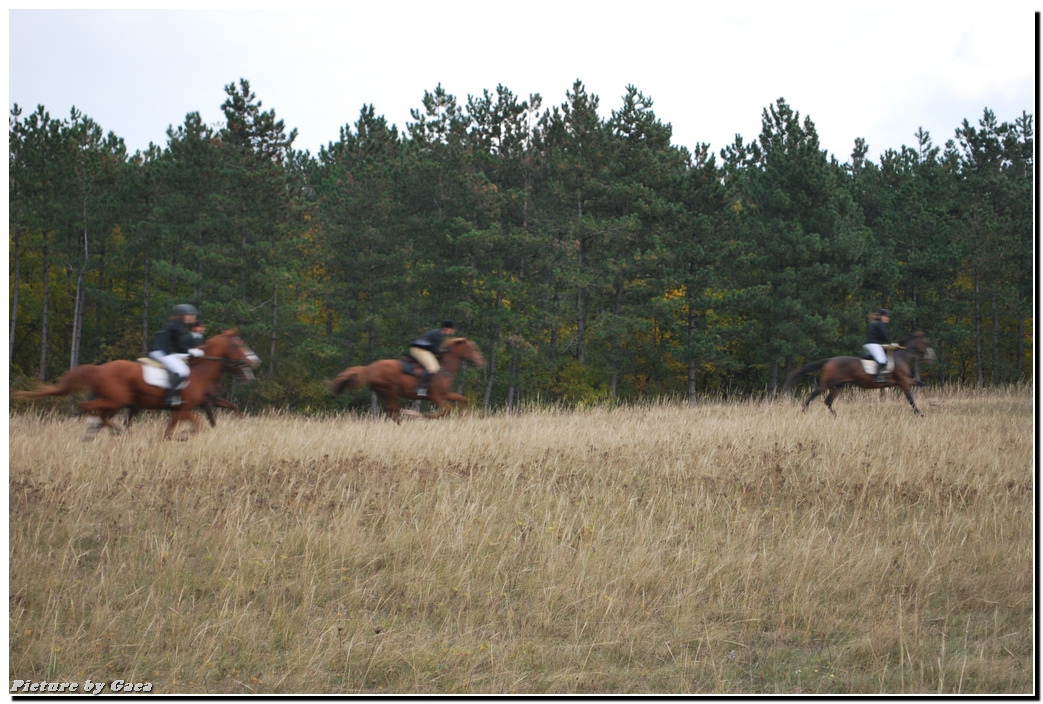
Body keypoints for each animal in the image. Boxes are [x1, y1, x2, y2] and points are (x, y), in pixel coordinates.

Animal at [14, 331, 258, 440]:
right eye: (238, 344)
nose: (254, 360)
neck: (200, 371)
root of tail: (99, 369)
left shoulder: (197, 405)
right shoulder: (185, 408)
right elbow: (196, 426)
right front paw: (183, 436)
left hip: (114, 403)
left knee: (99, 414)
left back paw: (104, 431)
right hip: (116, 400)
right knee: (88, 408)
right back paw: (104, 429)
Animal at [325, 337, 483, 423]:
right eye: (471, 349)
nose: (481, 362)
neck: (443, 368)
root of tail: (368, 368)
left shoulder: (445, 394)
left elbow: (462, 399)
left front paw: (464, 417)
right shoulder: (435, 396)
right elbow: (446, 410)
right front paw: (427, 415)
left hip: (385, 392)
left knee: (392, 411)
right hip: (390, 389)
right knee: (394, 409)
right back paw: (411, 415)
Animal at [784, 331, 938, 415]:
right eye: (926, 342)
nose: (932, 358)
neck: (901, 357)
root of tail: (829, 360)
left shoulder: (905, 381)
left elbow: (921, 384)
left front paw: (932, 403)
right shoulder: (903, 382)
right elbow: (911, 398)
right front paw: (920, 413)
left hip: (838, 386)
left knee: (828, 401)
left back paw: (836, 416)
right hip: (827, 383)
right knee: (813, 394)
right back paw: (803, 411)